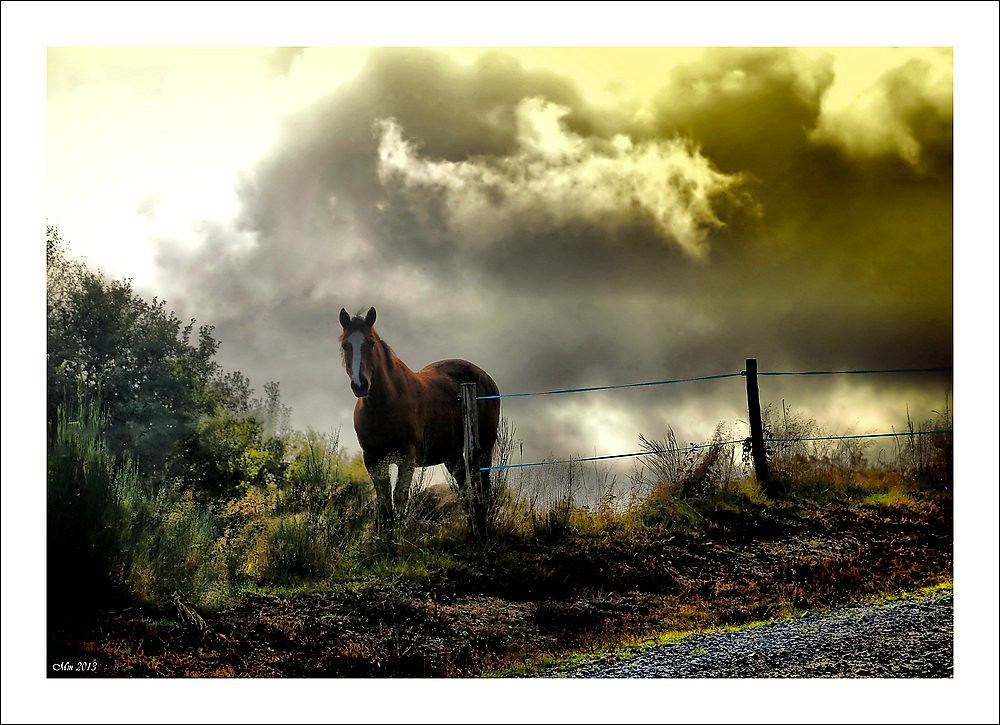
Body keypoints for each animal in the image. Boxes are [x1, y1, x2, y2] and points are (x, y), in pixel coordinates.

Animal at [338, 307, 501, 534]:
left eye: (370, 343)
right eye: (346, 345)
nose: (360, 384)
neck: (384, 406)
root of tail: (486, 378)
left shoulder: (407, 457)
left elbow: (399, 497)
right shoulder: (373, 459)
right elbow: (383, 501)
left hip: (484, 448)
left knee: (482, 489)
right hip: (452, 456)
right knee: (465, 490)